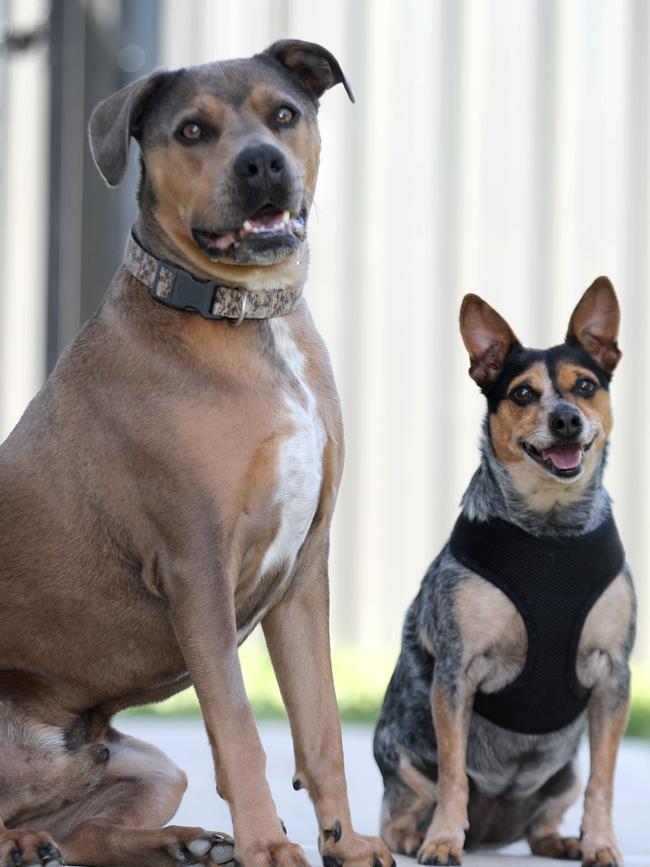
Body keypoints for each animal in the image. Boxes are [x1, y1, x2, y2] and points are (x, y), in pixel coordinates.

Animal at [0, 42, 390, 867]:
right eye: (190, 130)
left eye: (284, 113)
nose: (263, 163)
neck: (249, 320)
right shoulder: (196, 566)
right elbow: (240, 728)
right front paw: (269, 845)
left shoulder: (304, 573)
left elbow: (322, 728)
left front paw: (345, 841)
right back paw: (23, 843)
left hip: (144, 763)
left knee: (82, 833)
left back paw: (187, 843)